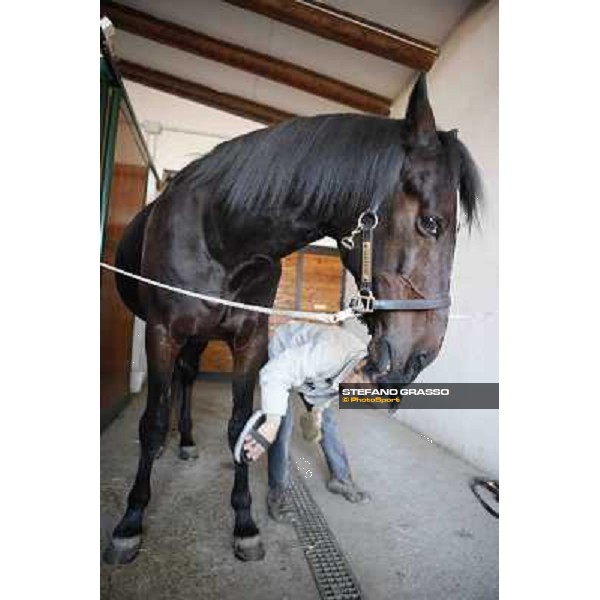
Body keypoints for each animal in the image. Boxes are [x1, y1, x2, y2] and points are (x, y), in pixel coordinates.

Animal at [102, 74, 478, 564]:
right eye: (431, 223)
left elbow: (239, 424)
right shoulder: (161, 332)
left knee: (187, 377)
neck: (221, 236)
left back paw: (184, 441)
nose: (420, 356)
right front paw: (130, 522)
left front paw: (244, 523)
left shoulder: (250, 340)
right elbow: (150, 424)